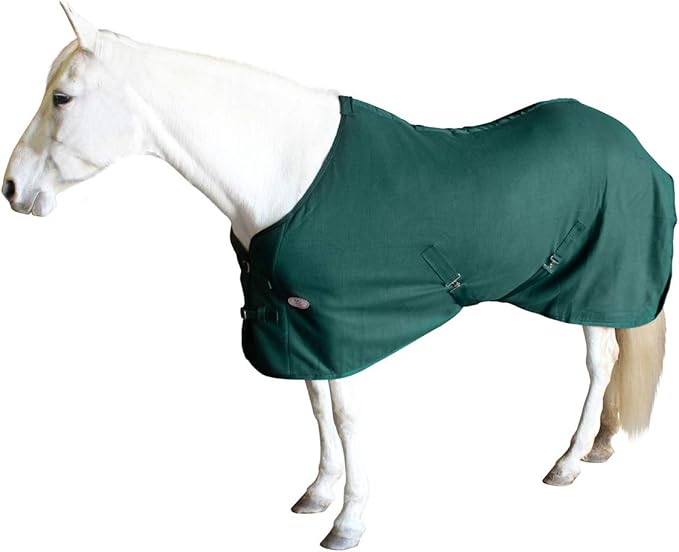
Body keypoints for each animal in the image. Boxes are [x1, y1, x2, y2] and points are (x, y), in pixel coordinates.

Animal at [2, 4, 673, 550]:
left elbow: (346, 419)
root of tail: (635, 146)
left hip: (595, 285)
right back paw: (601, 445)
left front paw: (348, 523)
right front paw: (318, 494)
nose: (11, 188)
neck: (285, 173)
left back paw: (569, 461)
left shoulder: (342, 325)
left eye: (61, 98)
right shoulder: (299, 325)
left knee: (600, 362)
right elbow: (316, 407)